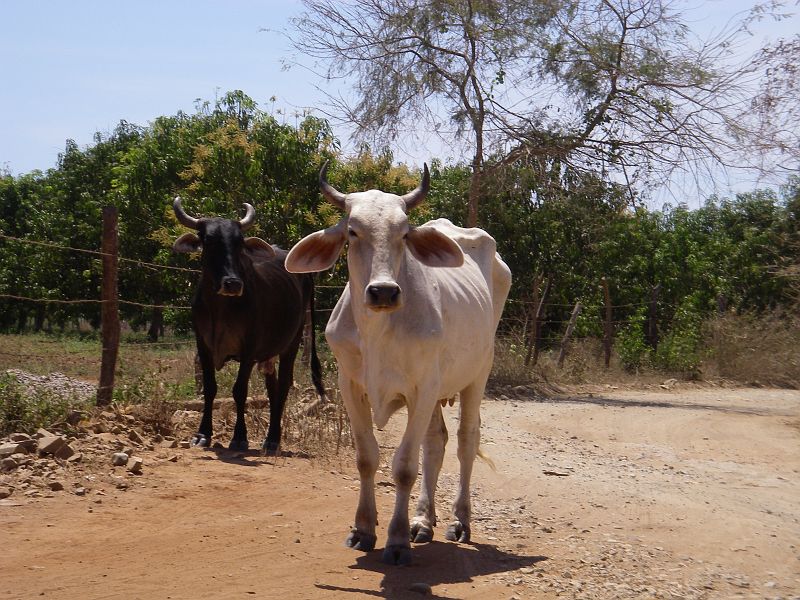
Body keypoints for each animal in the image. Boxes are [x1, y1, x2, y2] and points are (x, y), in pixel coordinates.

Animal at [172, 196, 326, 453]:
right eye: (209, 240)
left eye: (239, 242)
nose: (233, 283)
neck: (220, 308)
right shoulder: (202, 345)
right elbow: (210, 388)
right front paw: (203, 434)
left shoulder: (249, 348)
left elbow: (239, 390)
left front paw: (239, 437)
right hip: (269, 354)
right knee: (273, 389)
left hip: (292, 342)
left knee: (283, 386)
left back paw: (273, 439)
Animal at [285, 163, 511, 565]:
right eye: (352, 231)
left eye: (404, 234)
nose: (384, 292)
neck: (377, 332)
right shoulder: (351, 387)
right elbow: (366, 458)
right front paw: (363, 530)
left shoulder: (422, 389)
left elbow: (404, 466)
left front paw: (397, 540)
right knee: (436, 442)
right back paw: (423, 521)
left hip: (477, 373)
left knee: (466, 440)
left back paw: (459, 521)